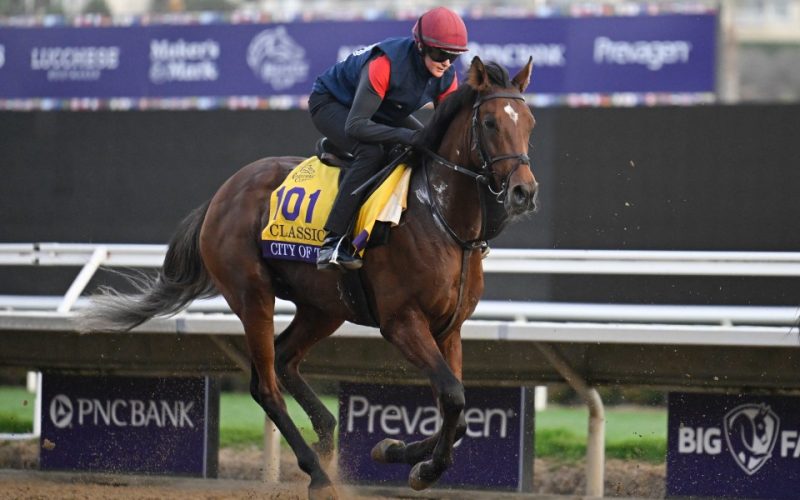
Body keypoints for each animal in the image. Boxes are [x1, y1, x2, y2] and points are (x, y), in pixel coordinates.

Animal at [81, 56, 540, 498]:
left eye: (530, 122)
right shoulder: (402, 322)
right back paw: (318, 473)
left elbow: (456, 411)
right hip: (252, 294)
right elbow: (453, 396)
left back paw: (325, 434)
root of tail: (221, 195)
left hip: (324, 307)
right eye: (490, 122)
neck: (439, 216)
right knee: (265, 385)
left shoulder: (449, 327)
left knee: (284, 358)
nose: (524, 191)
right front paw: (421, 468)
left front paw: (395, 450)